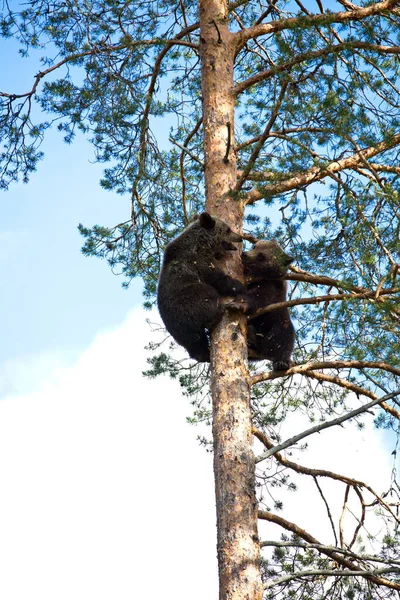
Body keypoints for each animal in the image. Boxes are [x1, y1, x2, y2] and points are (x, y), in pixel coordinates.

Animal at [157, 211, 245, 360]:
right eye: (228, 229)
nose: (241, 237)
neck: (202, 244)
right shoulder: (198, 262)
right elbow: (217, 278)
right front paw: (238, 285)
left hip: (182, 334)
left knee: (196, 345)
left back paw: (204, 354)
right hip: (189, 298)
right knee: (208, 298)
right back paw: (219, 311)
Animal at [241, 239, 294, 370]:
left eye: (261, 256)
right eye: (254, 246)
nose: (244, 254)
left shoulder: (272, 287)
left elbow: (258, 298)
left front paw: (242, 303)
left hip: (277, 322)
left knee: (283, 336)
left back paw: (282, 362)